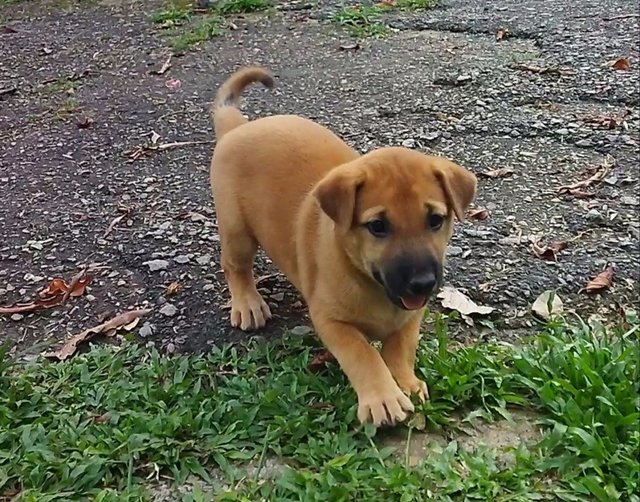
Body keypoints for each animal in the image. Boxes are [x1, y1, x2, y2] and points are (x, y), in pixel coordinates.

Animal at [210, 65, 476, 428]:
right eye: (378, 226)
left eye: (435, 220)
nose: (422, 283)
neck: (371, 286)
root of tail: (239, 127)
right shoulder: (331, 320)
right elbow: (363, 353)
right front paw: (383, 397)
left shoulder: (411, 315)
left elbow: (401, 348)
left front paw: (405, 383)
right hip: (237, 230)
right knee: (235, 266)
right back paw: (248, 304)